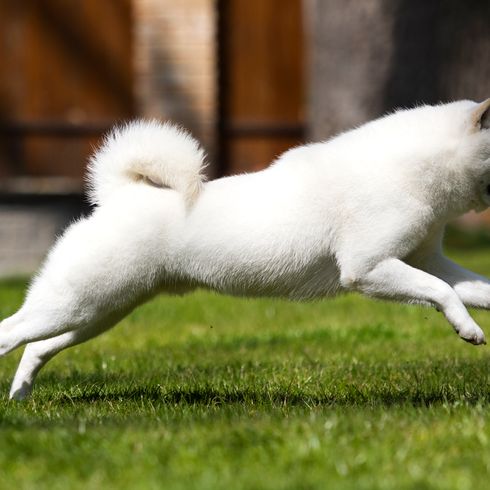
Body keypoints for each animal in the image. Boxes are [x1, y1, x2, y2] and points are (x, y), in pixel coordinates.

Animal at [2, 98, 490, 398]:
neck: (415, 167)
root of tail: (120, 194)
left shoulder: (427, 260)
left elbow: (466, 288)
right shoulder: (367, 269)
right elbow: (442, 293)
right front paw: (468, 330)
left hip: (98, 312)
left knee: (37, 347)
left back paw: (21, 396)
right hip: (75, 303)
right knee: (11, 331)